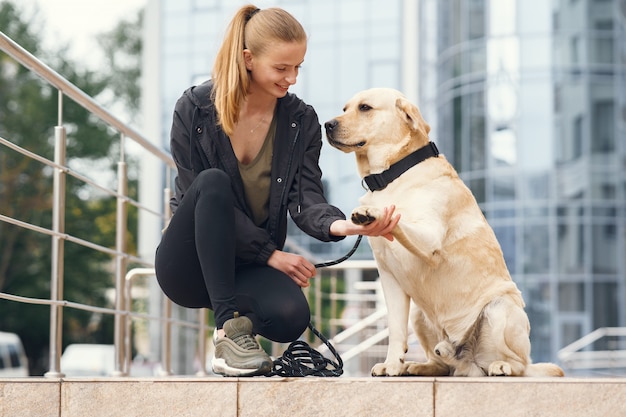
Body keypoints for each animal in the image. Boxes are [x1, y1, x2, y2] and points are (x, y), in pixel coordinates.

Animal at [324, 88, 564, 376]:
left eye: (365, 108)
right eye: (344, 108)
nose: (327, 124)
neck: (392, 175)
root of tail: (467, 359)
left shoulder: (429, 240)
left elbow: (400, 220)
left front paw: (375, 212)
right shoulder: (388, 275)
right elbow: (395, 329)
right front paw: (392, 364)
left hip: (500, 309)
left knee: (520, 365)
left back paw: (502, 366)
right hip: (419, 314)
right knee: (443, 366)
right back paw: (417, 366)